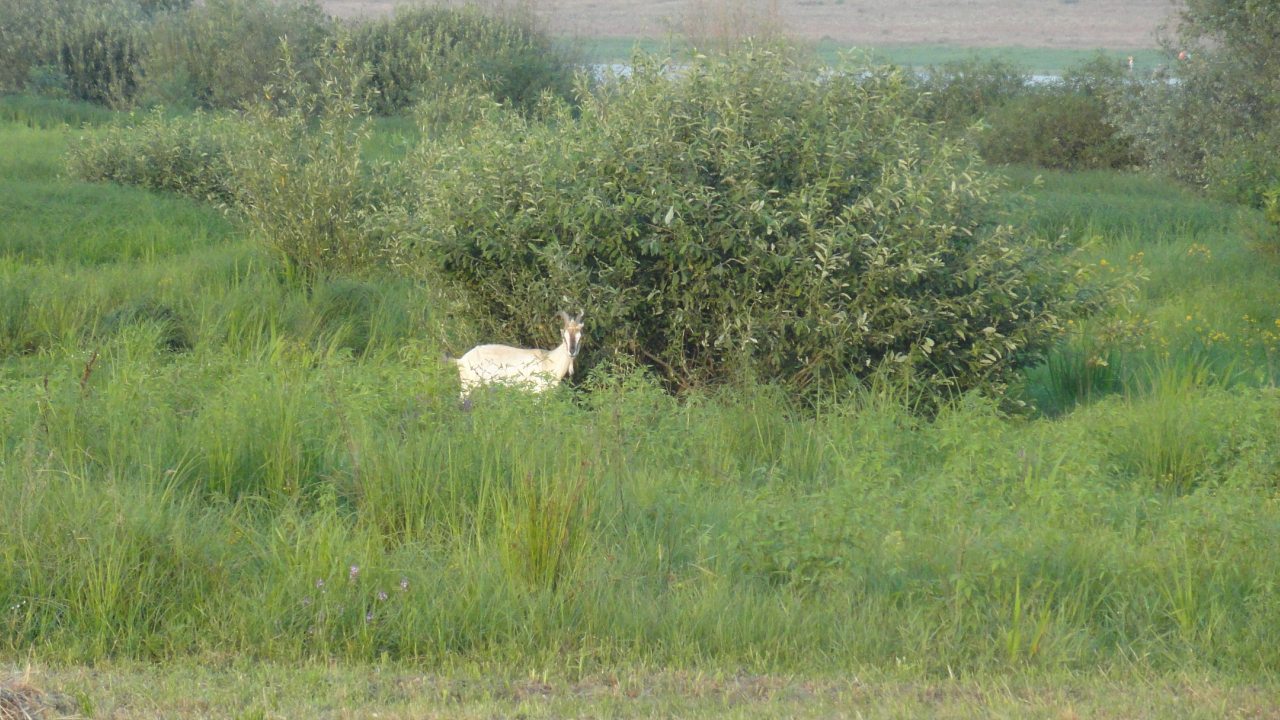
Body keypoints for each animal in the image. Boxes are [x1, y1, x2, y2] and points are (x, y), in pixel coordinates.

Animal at [455, 308, 586, 397]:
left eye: (580, 337)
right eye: (564, 337)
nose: (572, 352)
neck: (548, 360)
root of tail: (461, 360)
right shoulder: (536, 393)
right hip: (468, 386)